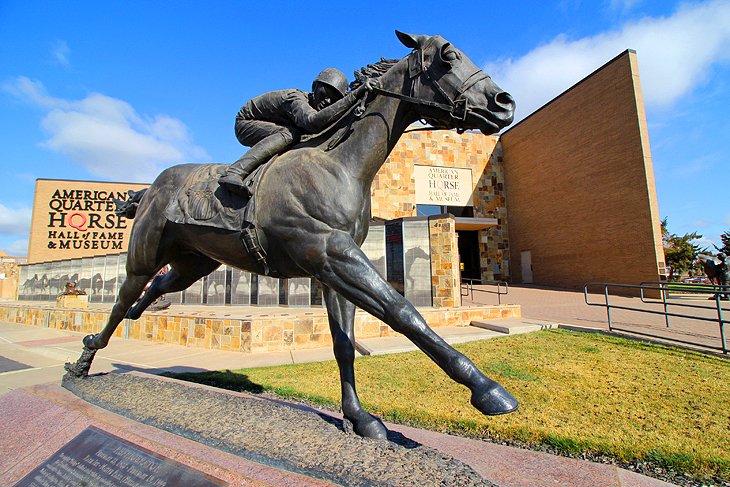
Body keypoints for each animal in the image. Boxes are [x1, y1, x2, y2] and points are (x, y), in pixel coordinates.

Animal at [65, 31, 516, 442]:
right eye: (448, 56)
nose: (504, 102)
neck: (338, 164)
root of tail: (149, 189)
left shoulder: (332, 267)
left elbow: (345, 343)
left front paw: (360, 417)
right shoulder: (331, 253)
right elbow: (402, 312)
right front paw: (489, 390)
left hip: (195, 261)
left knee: (158, 286)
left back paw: (137, 316)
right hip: (144, 253)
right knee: (121, 299)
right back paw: (83, 360)